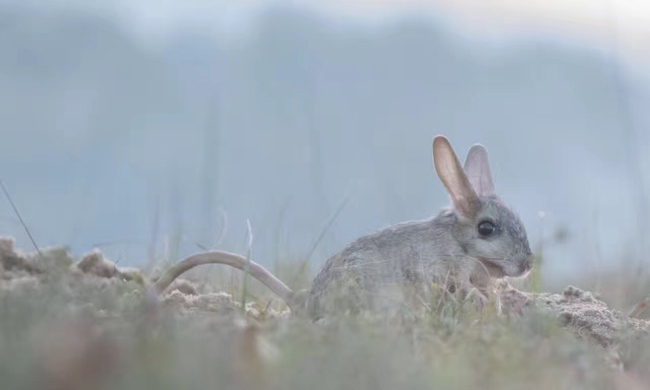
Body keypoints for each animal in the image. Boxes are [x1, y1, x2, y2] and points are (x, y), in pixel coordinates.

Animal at [152, 136, 532, 318]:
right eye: (487, 229)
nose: (529, 264)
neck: (459, 243)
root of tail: (303, 300)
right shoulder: (447, 272)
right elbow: (467, 290)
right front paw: (485, 304)